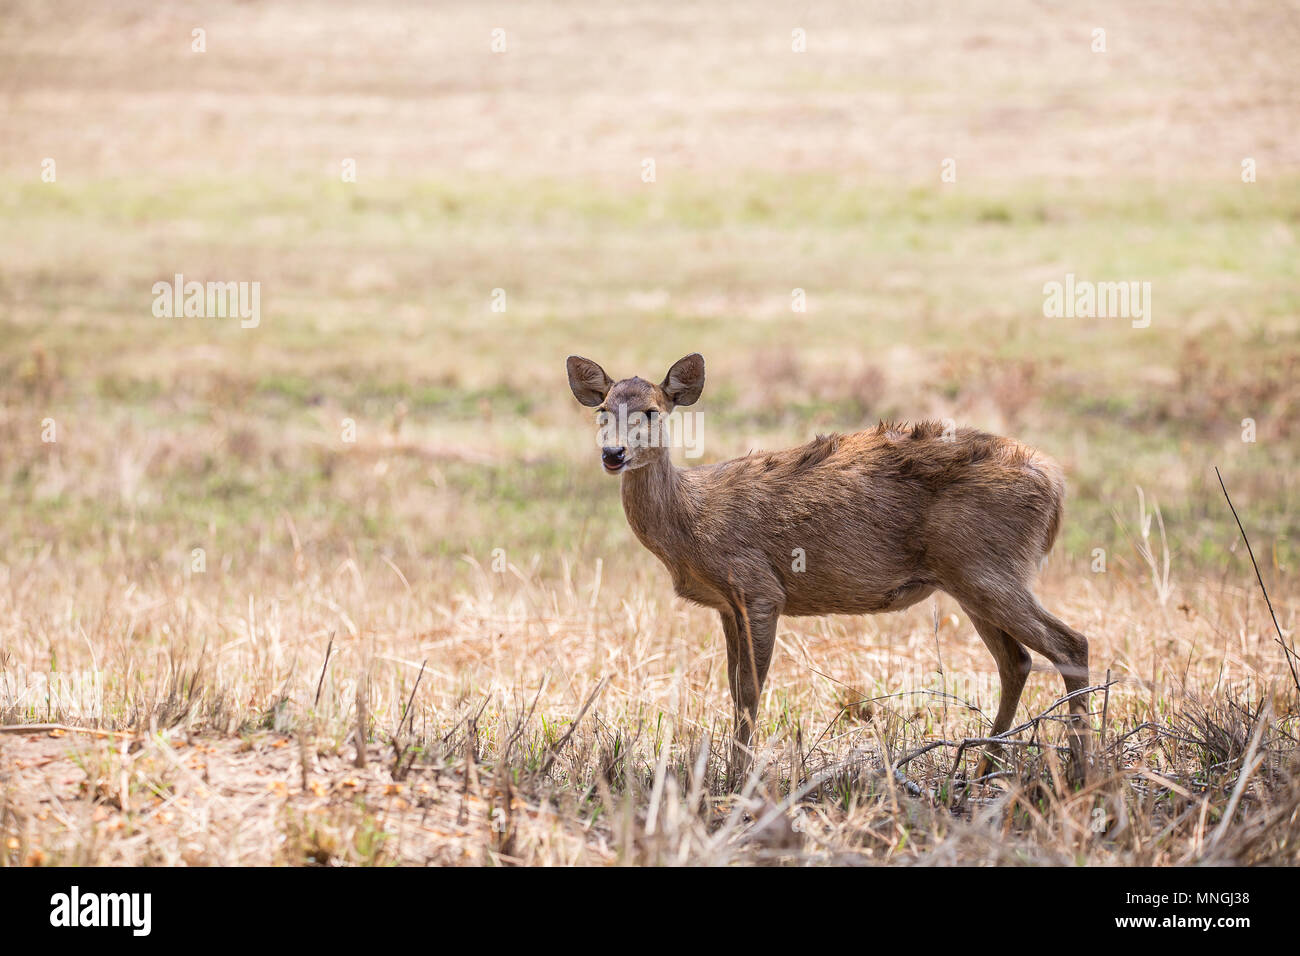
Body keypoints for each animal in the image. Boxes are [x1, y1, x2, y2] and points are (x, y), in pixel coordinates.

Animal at [564, 351, 1092, 785]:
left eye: (652, 411)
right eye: (602, 410)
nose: (613, 454)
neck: (692, 520)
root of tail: (1055, 483)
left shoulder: (759, 588)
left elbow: (750, 692)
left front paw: (739, 781)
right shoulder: (728, 605)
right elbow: (734, 690)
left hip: (987, 566)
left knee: (1071, 643)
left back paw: (1081, 772)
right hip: (969, 579)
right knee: (1016, 661)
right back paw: (984, 766)